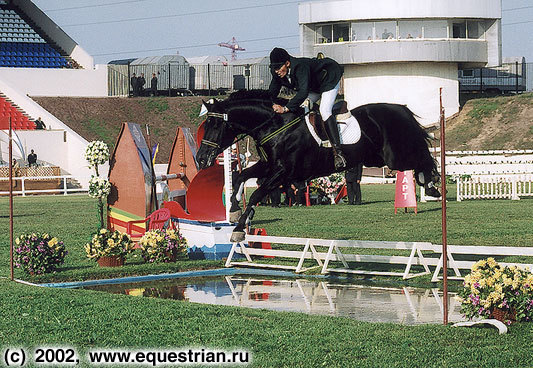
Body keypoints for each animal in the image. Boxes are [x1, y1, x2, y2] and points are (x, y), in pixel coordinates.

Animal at [197, 90, 438, 242]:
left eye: (215, 124)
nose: (201, 158)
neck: (276, 126)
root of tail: (400, 108)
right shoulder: (268, 166)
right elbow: (240, 177)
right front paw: (234, 211)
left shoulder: (284, 173)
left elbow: (257, 194)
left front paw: (238, 230)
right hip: (379, 158)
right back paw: (430, 183)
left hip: (394, 157)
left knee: (423, 157)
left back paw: (432, 184)